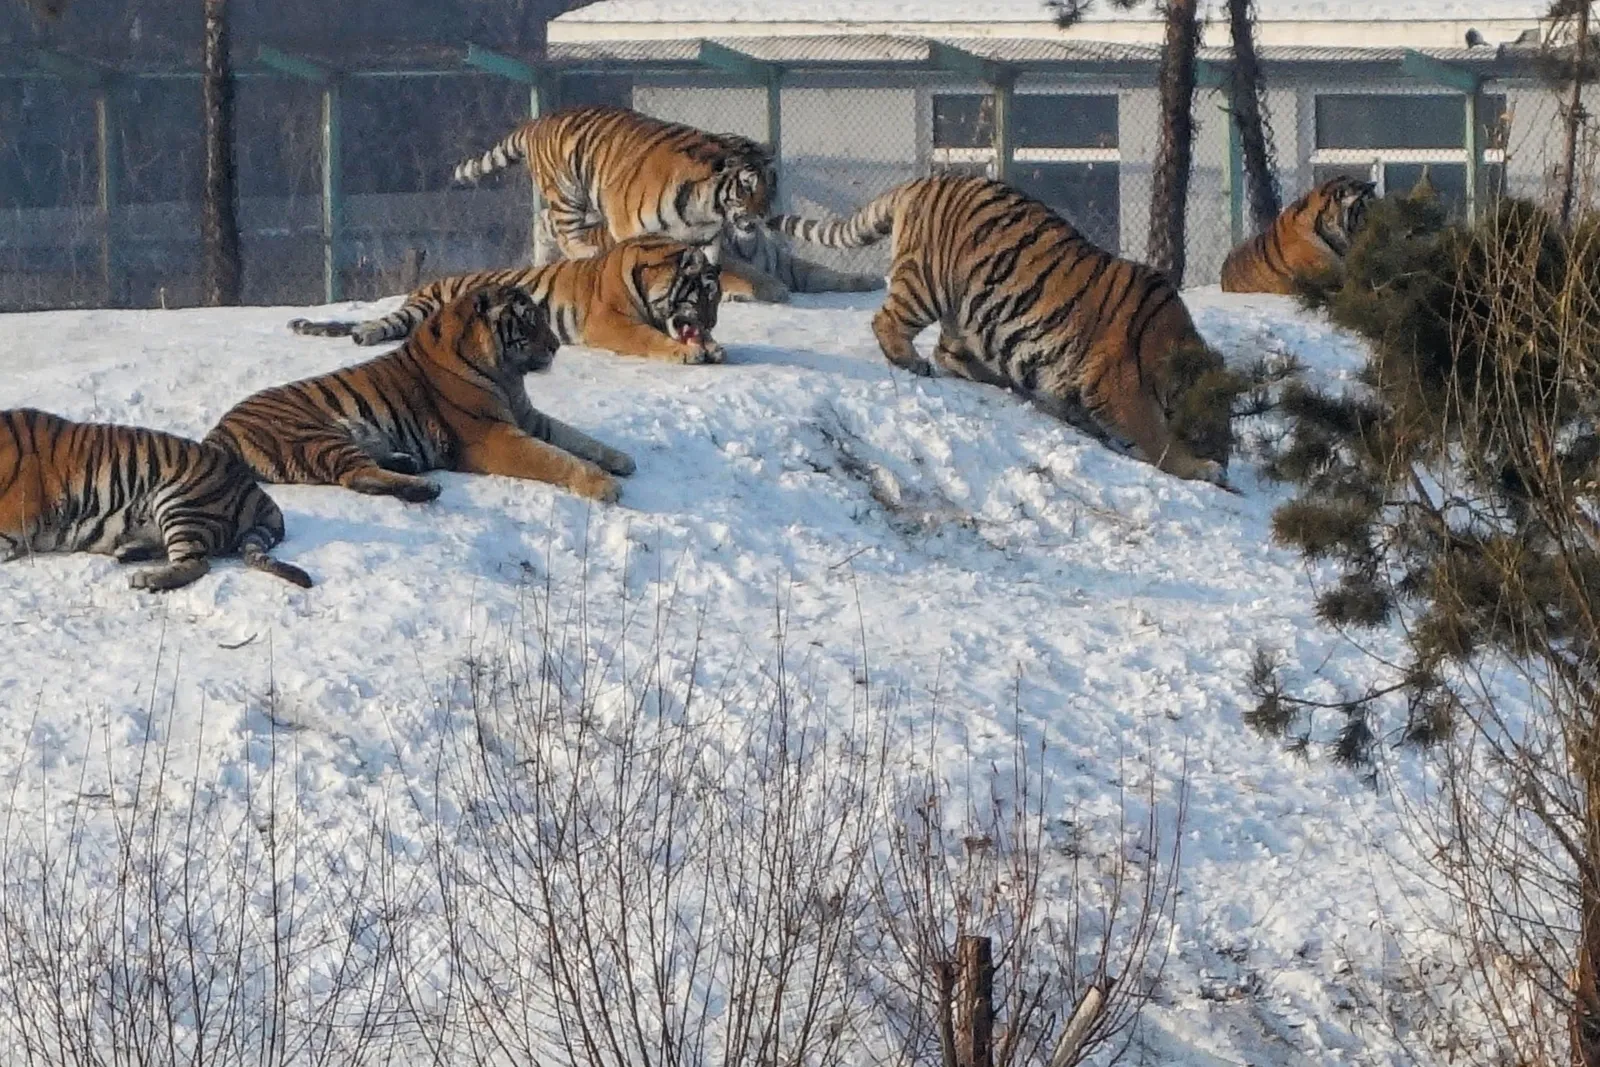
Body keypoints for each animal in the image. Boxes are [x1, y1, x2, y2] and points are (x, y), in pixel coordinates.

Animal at [209, 284, 634, 505]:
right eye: (529, 320)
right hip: (312, 435)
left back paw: (406, 462)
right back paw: (424, 487)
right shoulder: (493, 435)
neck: (508, 375)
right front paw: (603, 485)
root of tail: (218, 432)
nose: (556, 346)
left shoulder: (527, 416)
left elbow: (576, 438)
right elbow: (555, 457)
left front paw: (622, 459)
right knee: (355, 475)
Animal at [288, 234, 725, 364]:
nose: (713, 322)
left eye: (717, 299)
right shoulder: (610, 321)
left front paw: (712, 347)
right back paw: (363, 334)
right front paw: (687, 352)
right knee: (380, 324)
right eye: (704, 297)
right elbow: (647, 337)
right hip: (418, 309)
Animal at [453, 104, 775, 265]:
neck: (705, 209)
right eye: (746, 186)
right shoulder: (626, 227)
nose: (764, 215)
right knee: (565, 233)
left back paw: (541, 263)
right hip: (567, 192)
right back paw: (585, 253)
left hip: (589, 207)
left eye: (770, 187)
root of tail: (536, 122)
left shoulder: (704, 239)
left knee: (543, 221)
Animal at [770, 174, 1235, 486]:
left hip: (970, 312)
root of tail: (922, 179)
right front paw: (1201, 469)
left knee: (949, 352)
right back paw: (909, 360)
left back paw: (995, 378)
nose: (1229, 459)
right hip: (926, 282)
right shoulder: (1121, 390)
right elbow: (1159, 440)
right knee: (888, 321)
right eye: (1219, 419)